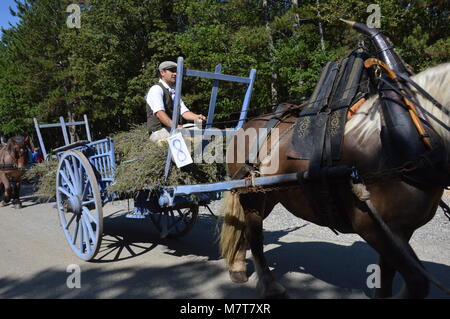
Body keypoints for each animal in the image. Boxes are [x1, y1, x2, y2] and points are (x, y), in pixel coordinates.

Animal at [220, 22, 448, 300]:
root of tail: (245, 126)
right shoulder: (372, 225)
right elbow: (417, 282)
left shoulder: (398, 231)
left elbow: (386, 277)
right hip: (253, 196)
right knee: (255, 235)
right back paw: (270, 285)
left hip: (269, 195)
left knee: (243, 225)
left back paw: (238, 268)